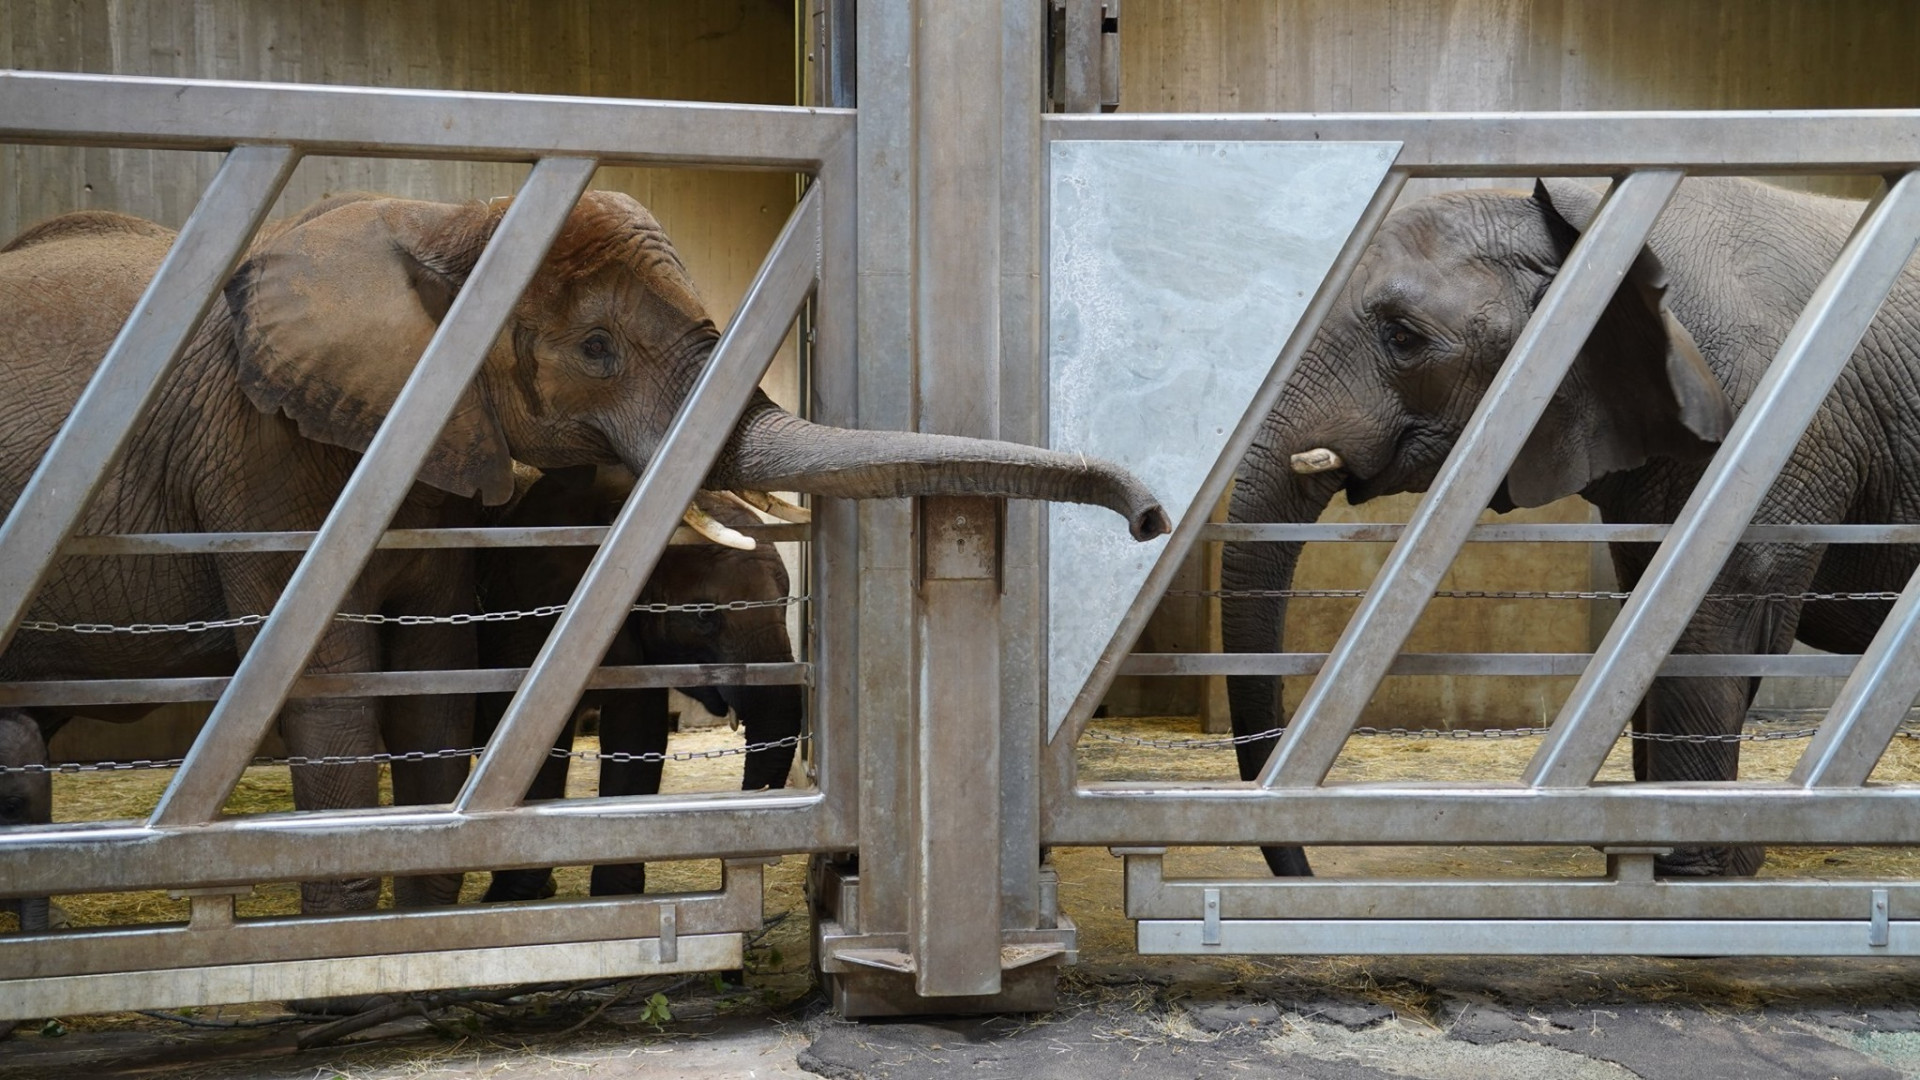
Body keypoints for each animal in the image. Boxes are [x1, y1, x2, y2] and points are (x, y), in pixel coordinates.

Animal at [1228, 176, 1920, 880]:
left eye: (1401, 336)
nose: (1305, 868)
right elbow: (1646, 602)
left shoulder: (1772, 430)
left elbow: (1709, 612)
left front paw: (1693, 870)